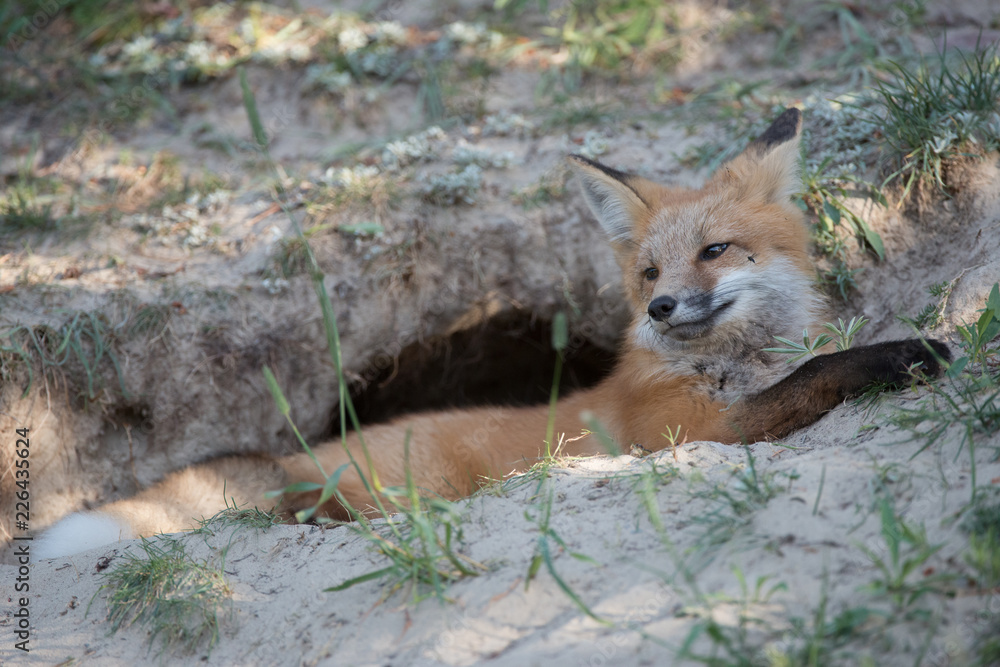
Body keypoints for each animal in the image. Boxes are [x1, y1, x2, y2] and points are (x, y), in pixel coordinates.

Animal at [34, 109, 950, 559]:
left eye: (714, 251)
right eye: (649, 272)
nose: (660, 309)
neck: (731, 365)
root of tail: (299, 454)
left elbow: (813, 365)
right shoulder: (696, 431)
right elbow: (815, 376)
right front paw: (904, 354)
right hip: (397, 490)